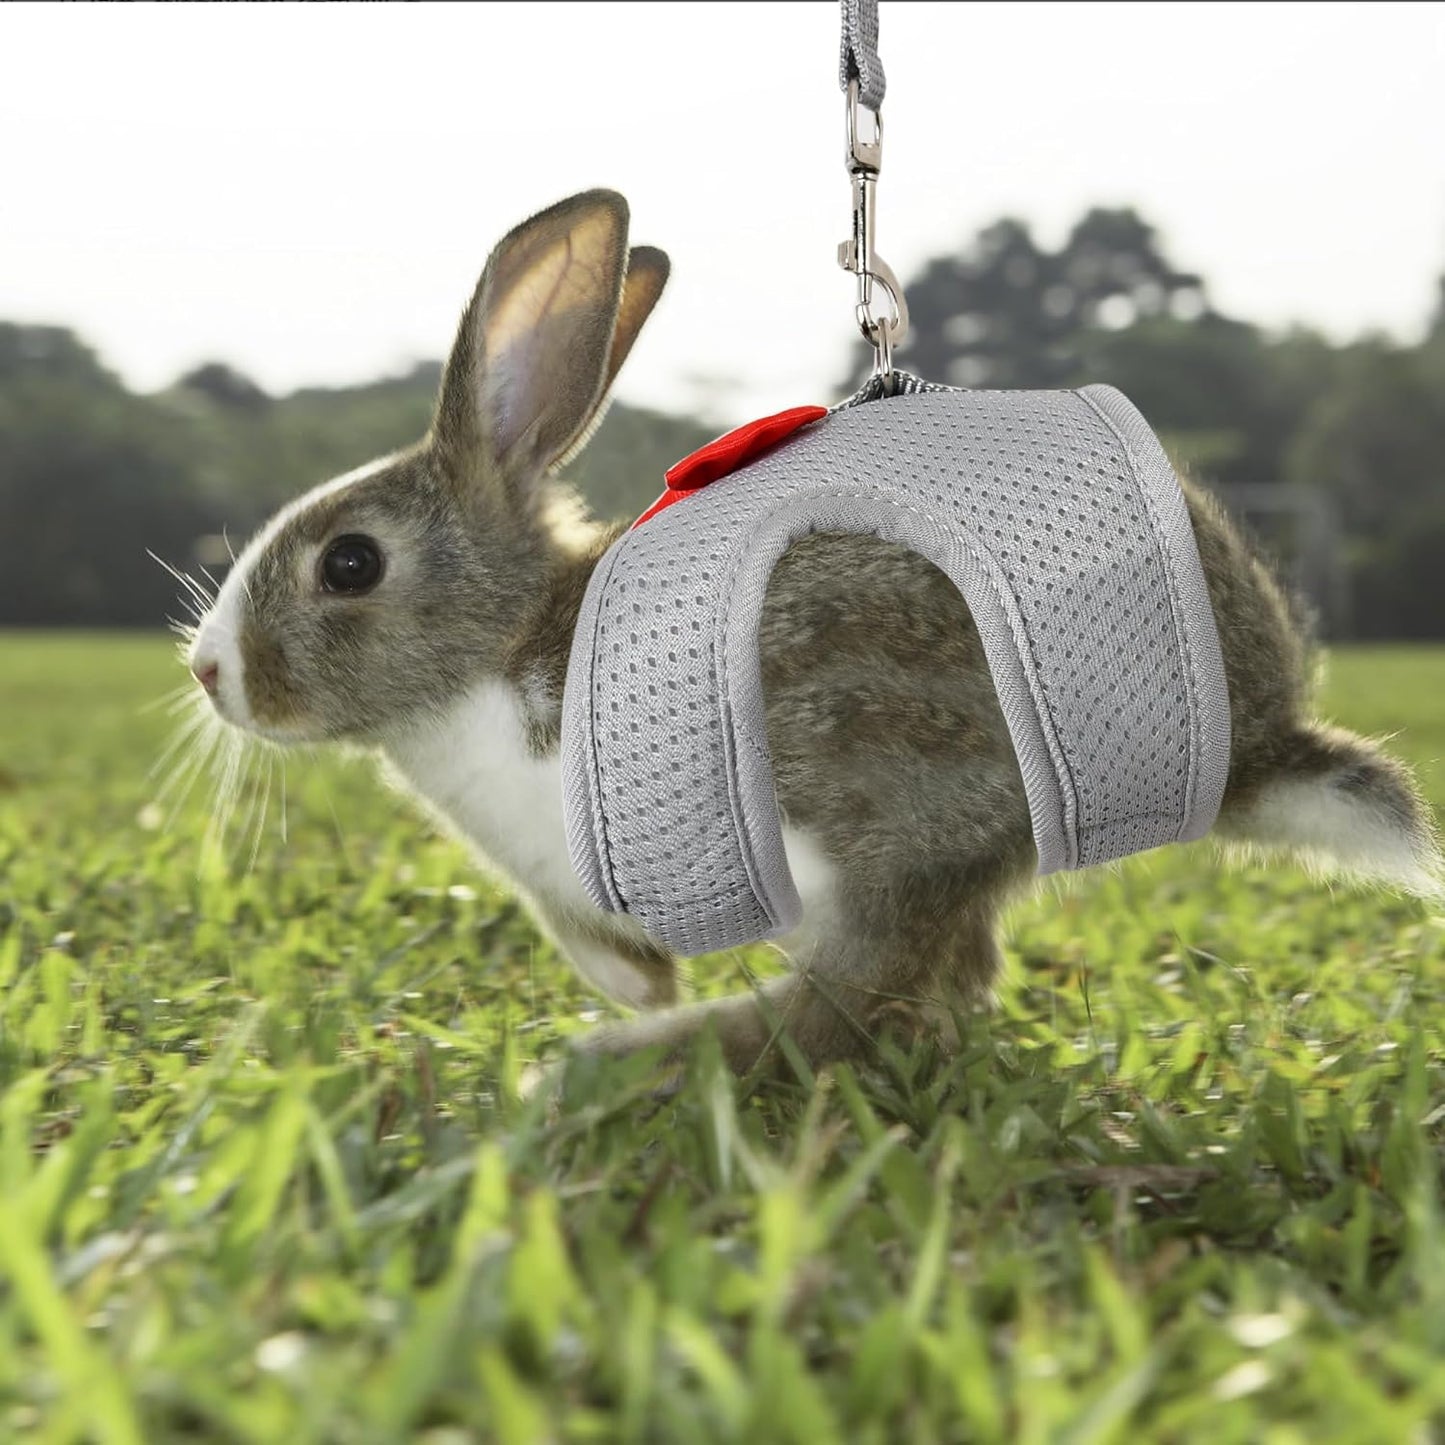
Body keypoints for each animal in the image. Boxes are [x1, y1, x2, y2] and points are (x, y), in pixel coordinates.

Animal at [186, 188, 1442, 1078]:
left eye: (351, 563)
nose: (208, 671)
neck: (505, 647)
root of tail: (1256, 744)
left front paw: (631, 1013)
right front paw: (635, 983)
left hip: (876, 766)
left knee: (861, 994)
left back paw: (616, 1066)